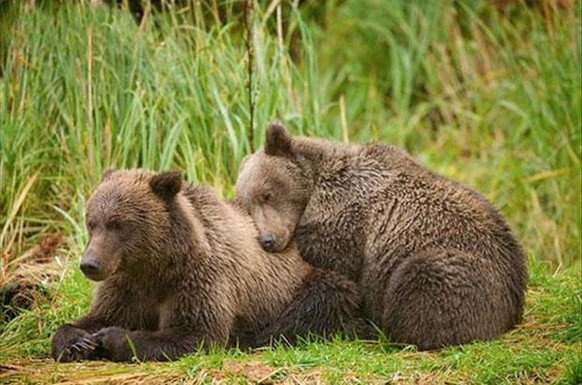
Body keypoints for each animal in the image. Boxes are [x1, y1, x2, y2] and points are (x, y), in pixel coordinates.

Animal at [53, 168, 364, 360]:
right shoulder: (126, 285)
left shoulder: (201, 279)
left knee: (318, 301)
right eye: (92, 222)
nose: (90, 264)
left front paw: (110, 337)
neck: (156, 266)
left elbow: (196, 333)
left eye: (119, 224)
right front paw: (77, 340)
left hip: (311, 280)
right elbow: (99, 314)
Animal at [235, 121, 532, 350]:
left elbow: (337, 269)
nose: (268, 240)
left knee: (420, 281)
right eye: (246, 206)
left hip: (464, 272)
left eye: (267, 194)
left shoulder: (345, 222)